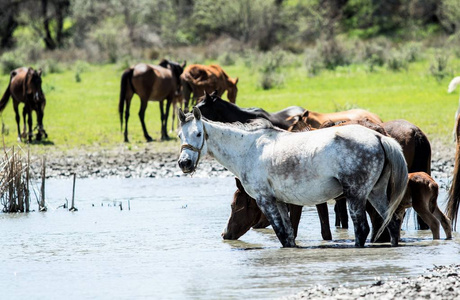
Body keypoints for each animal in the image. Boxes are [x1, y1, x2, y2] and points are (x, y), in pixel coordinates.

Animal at [178, 106, 408, 247]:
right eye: (180, 135)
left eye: (198, 134)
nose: (184, 163)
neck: (250, 149)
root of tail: (377, 136)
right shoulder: (280, 201)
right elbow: (288, 235)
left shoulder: (265, 200)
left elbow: (281, 233)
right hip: (376, 193)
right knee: (392, 222)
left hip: (356, 195)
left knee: (362, 228)